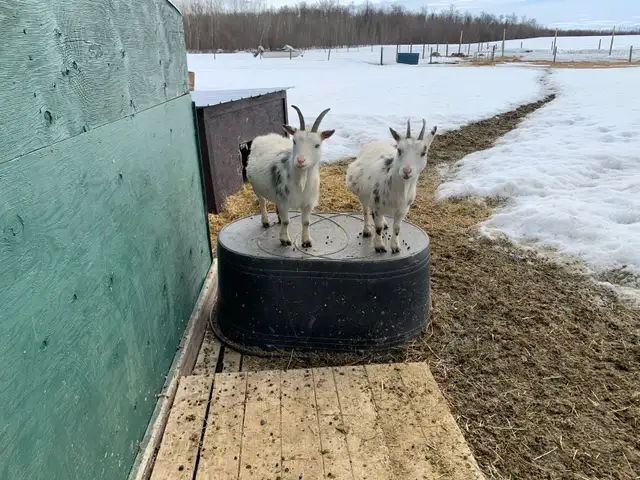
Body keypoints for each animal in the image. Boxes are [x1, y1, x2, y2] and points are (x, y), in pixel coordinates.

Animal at [246, 105, 335, 247]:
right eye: (294, 141)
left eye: (317, 145)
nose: (300, 160)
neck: (301, 182)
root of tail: (265, 136)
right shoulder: (284, 202)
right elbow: (286, 221)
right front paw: (284, 239)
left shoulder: (308, 203)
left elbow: (306, 222)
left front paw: (306, 241)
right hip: (256, 187)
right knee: (262, 202)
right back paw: (265, 221)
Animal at [346, 119, 437, 253]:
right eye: (399, 150)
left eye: (423, 153)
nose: (406, 171)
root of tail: (375, 142)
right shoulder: (377, 206)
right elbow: (377, 227)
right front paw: (379, 247)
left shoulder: (403, 210)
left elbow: (397, 228)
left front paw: (395, 247)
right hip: (362, 194)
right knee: (365, 210)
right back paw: (367, 230)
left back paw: (384, 224)